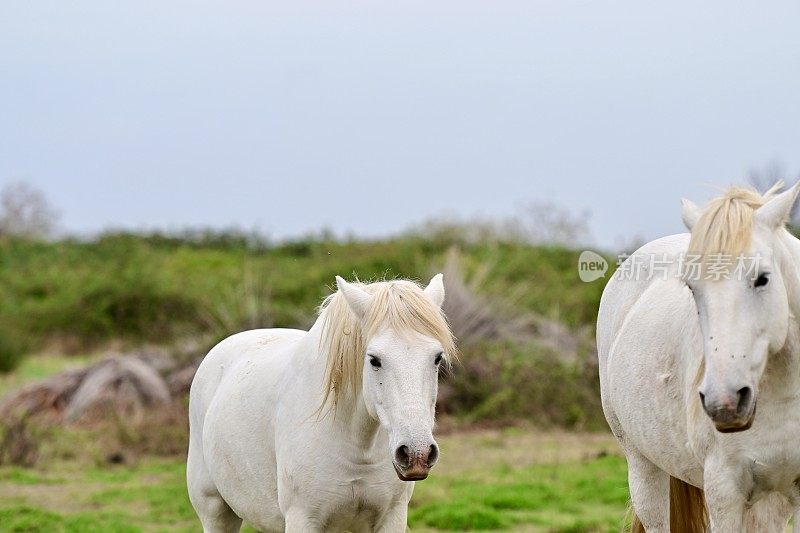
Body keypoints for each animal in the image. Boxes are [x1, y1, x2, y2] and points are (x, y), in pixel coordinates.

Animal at [184, 274, 454, 532]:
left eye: (437, 358)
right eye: (374, 360)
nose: (417, 454)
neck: (357, 447)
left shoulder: (391, 518)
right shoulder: (302, 519)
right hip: (215, 510)